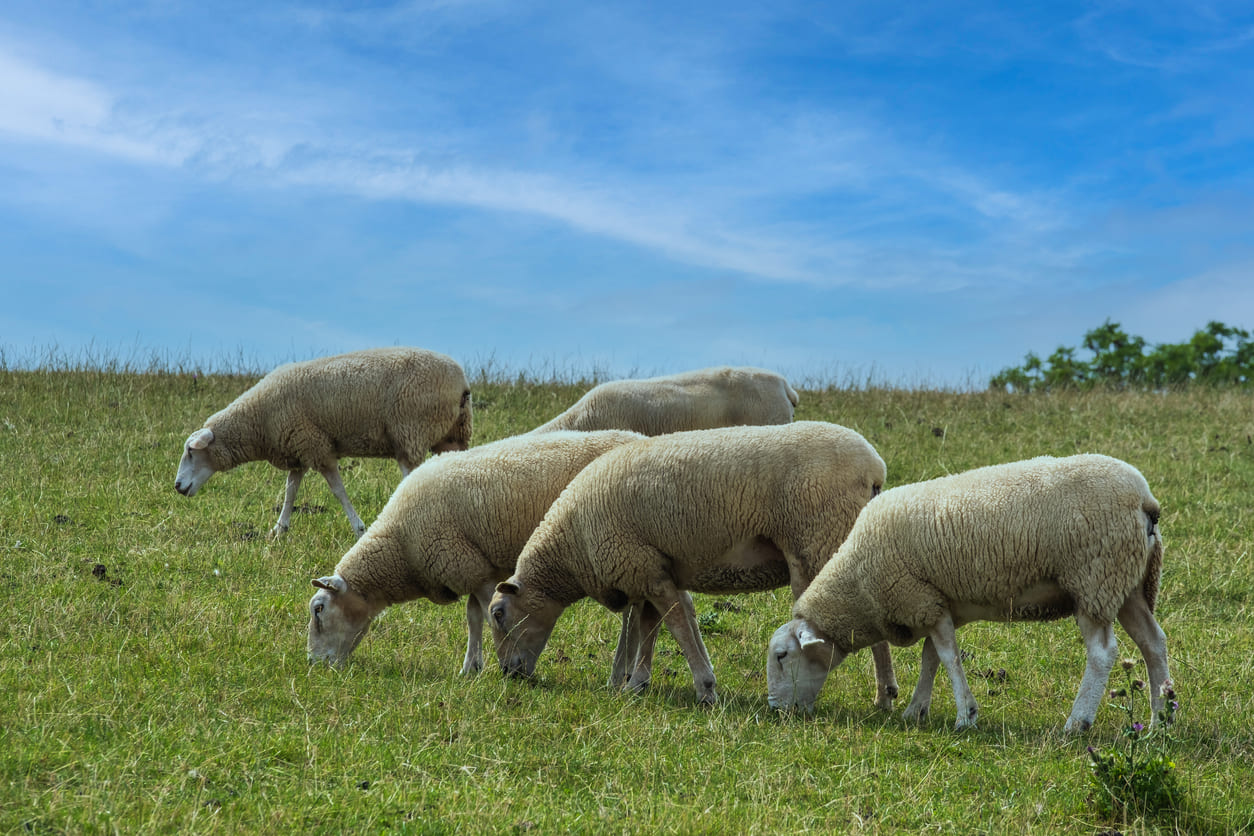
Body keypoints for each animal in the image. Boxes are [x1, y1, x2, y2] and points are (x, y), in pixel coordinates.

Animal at [174, 345, 471, 536]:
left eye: (191, 451)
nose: (177, 486)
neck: (259, 419)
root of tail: (462, 381)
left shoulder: (316, 446)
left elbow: (338, 491)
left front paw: (359, 529)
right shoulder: (297, 450)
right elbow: (290, 491)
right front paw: (279, 530)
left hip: (410, 432)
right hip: (451, 436)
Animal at [305, 431, 647, 671]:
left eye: (318, 609)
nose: (313, 664)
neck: (400, 546)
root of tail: (640, 439)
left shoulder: (469, 568)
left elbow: (485, 614)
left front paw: (492, 664)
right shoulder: (472, 567)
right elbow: (472, 618)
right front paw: (471, 667)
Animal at [484, 421, 897, 711]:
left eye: (498, 614)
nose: (507, 673)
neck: (573, 545)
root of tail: (874, 467)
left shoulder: (644, 569)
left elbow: (677, 627)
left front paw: (705, 689)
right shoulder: (652, 569)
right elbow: (655, 628)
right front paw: (638, 683)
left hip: (821, 541)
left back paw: (883, 695)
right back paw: (886, 694)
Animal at [762, 451, 1173, 731]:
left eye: (782, 655)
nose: (775, 710)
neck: (857, 582)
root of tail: (1145, 499)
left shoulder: (918, 598)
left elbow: (947, 657)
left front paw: (965, 715)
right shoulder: (935, 602)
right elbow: (931, 657)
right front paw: (916, 710)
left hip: (1094, 578)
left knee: (1103, 653)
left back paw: (1078, 721)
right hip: (1130, 584)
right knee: (1153, 643)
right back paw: (1159, 719)